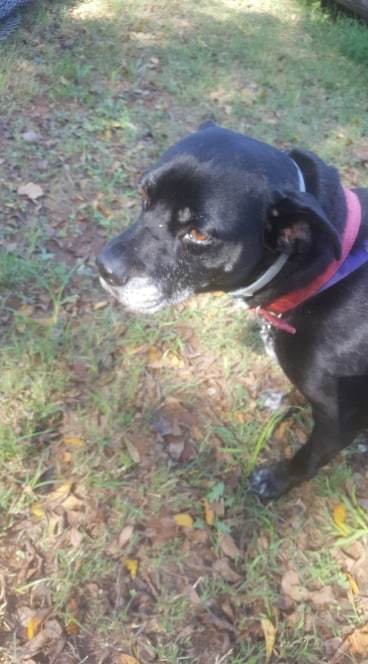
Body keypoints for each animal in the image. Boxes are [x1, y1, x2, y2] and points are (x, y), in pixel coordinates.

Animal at [96, 123, 368, 498]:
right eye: (144, 195)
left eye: (198, 234)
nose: (105, 268)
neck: (324, 276)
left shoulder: (343, 418)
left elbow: (310, 456)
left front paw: (278, 480)